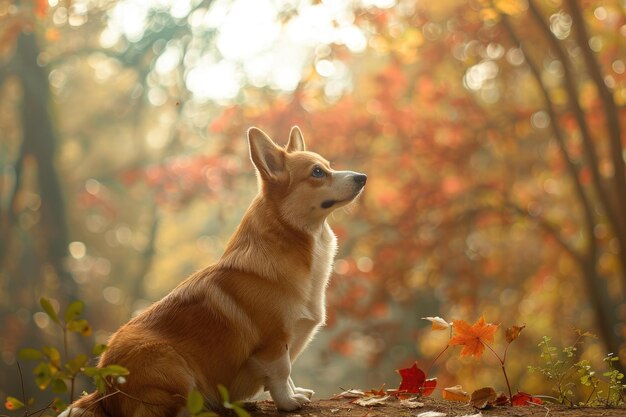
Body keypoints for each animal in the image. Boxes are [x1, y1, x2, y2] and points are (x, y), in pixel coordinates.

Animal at [60, 127, 366, 416]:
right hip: (172, 366)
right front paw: (288, 403)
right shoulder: (274, 343)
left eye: (328, 165)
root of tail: (103, 394)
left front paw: (295, 393)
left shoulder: (285, 344)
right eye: (317, 172)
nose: (362, 177)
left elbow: (286, 376)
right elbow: (281, 374)